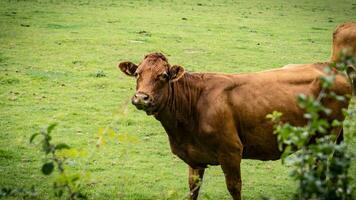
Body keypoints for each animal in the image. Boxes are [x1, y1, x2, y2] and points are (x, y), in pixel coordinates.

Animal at [118, 52, 352, 199]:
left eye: (164, 75)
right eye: (137, 73)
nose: (141, 97)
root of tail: (331, 67)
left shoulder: (231, 152)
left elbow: (234, 188)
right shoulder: (194, 158)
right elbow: (193, 189)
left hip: (325, 137)